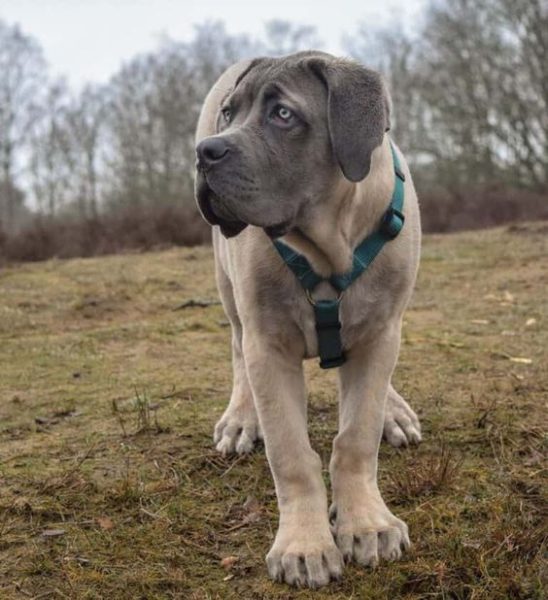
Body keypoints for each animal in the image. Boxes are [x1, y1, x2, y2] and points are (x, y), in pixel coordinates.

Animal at [195, 50, 422, 584]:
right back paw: (241, 418)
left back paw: (394, 410)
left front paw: (367, 522)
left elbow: (356, 436)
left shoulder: (380, 333)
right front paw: (304, 546)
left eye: (283, 115)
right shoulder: (268, 347)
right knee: (236, 348)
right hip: (228, 288)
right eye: (229, 114)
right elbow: (291, 454)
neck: (328, 244)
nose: (206, 152)